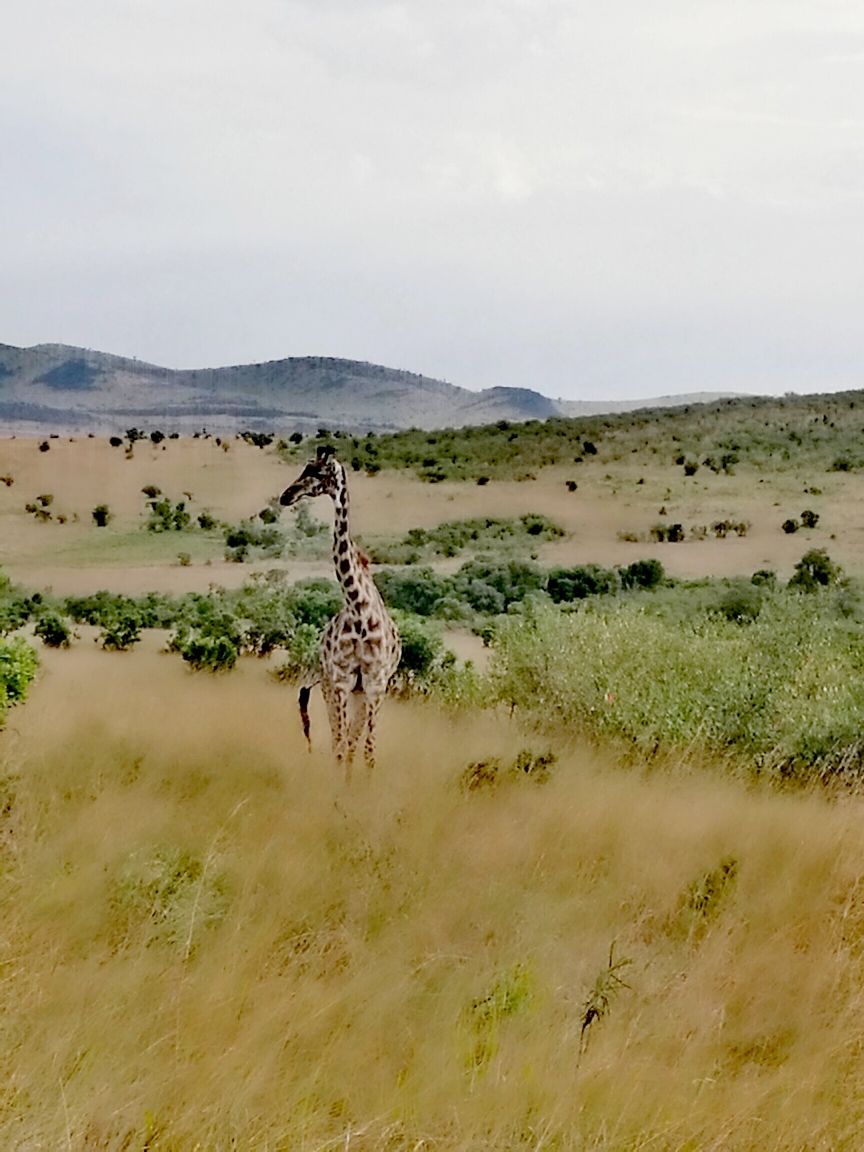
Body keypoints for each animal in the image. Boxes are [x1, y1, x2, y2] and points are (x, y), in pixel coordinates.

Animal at [282, 444, 405, 778]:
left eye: (317, 471)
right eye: (304, 467)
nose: (286, 496)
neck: (359, 607)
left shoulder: (375, 683)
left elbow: (368, 751)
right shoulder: (340, 681)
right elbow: (341, 746)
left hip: (364, 692)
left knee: (351, 742)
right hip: (329, 686)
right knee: (339, 740)